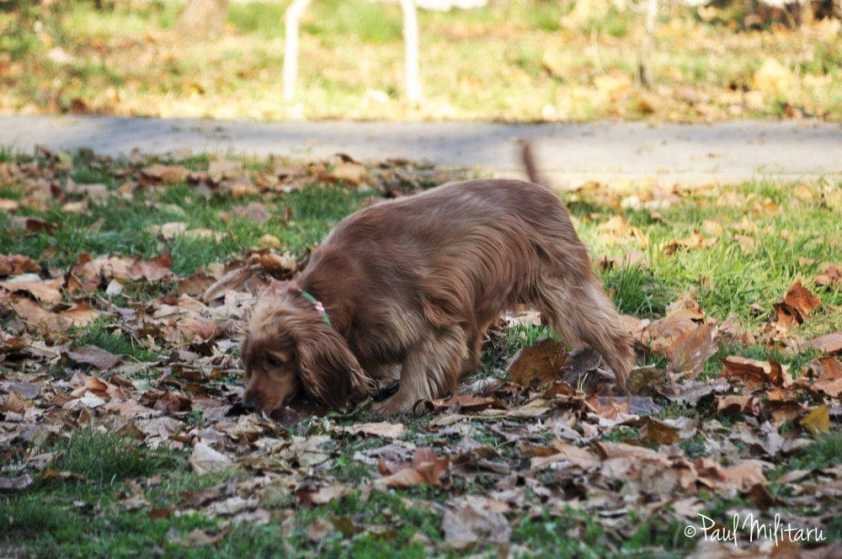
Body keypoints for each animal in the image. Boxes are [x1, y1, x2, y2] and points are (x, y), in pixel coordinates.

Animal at [241, 150, 634, 415]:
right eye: (249, 363)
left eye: (275, 361)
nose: (246, 405)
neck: (333, 290)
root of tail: (545, 192)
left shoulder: (426, 323)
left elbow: (417, 369)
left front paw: (397, 403)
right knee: (473, 354)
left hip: (563, 288)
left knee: (611, 333)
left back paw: (625, 381)